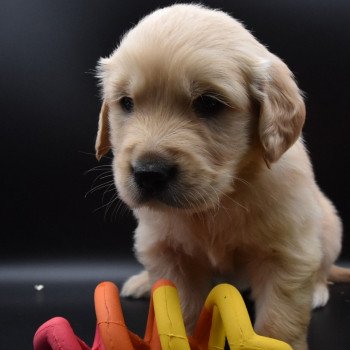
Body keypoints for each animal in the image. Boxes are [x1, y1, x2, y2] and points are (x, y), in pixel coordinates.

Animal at [95, 3, 348, 350]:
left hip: (330, 226)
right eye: (126, 103)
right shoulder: (169, 253)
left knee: (322, 268)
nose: (148, 173)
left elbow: (279, 322)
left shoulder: (288, 252)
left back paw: (318, 290)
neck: (221, 198)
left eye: (209, 103)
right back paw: (143, 282)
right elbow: (180, 312)